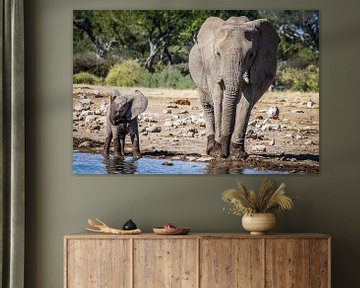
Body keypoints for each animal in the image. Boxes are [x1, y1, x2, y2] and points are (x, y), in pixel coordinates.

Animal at [190, 16, 280, 159]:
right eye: (218, 54)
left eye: (251, 55)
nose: (224, 154)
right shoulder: (212, 66)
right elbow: (219, 98)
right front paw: (217, 153)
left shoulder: (258, 68)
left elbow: (245, 102)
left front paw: (237, 154)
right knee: (208, 106)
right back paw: (211, 148)